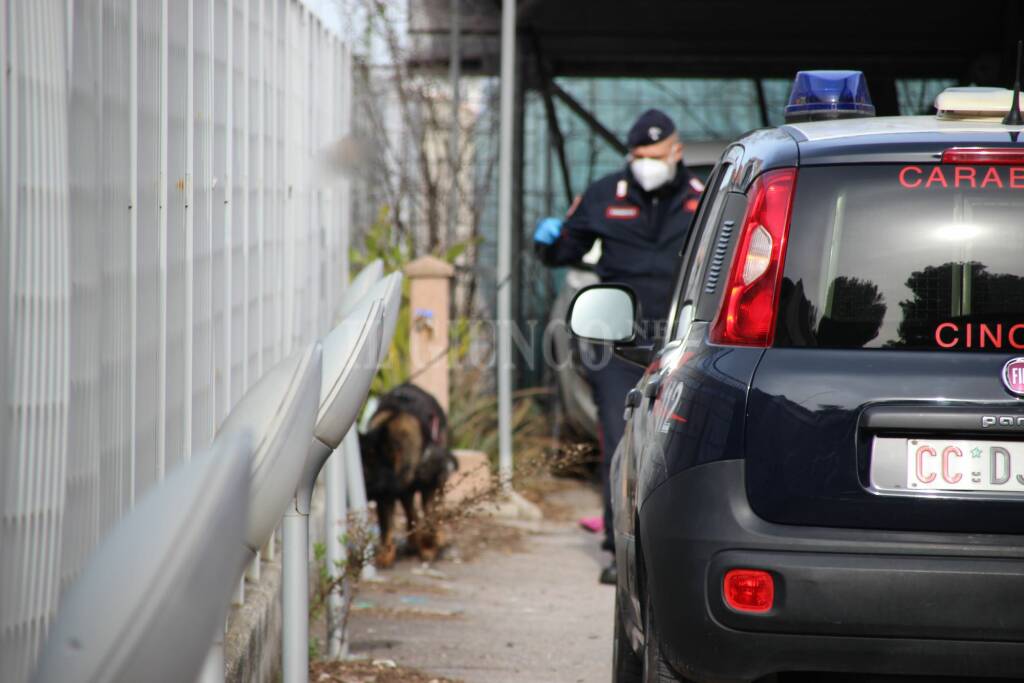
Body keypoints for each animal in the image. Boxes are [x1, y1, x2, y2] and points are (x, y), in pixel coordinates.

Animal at [360, 385, 456, 565]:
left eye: (367, 473)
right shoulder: (387, 494)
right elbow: (387, 524)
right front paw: (386, 554)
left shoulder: (429, 485)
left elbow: (430, 516)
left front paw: (429, 544)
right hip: (406, 491)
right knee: (412, 513)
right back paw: (413, 540)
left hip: (436, 481)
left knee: (432, 510)